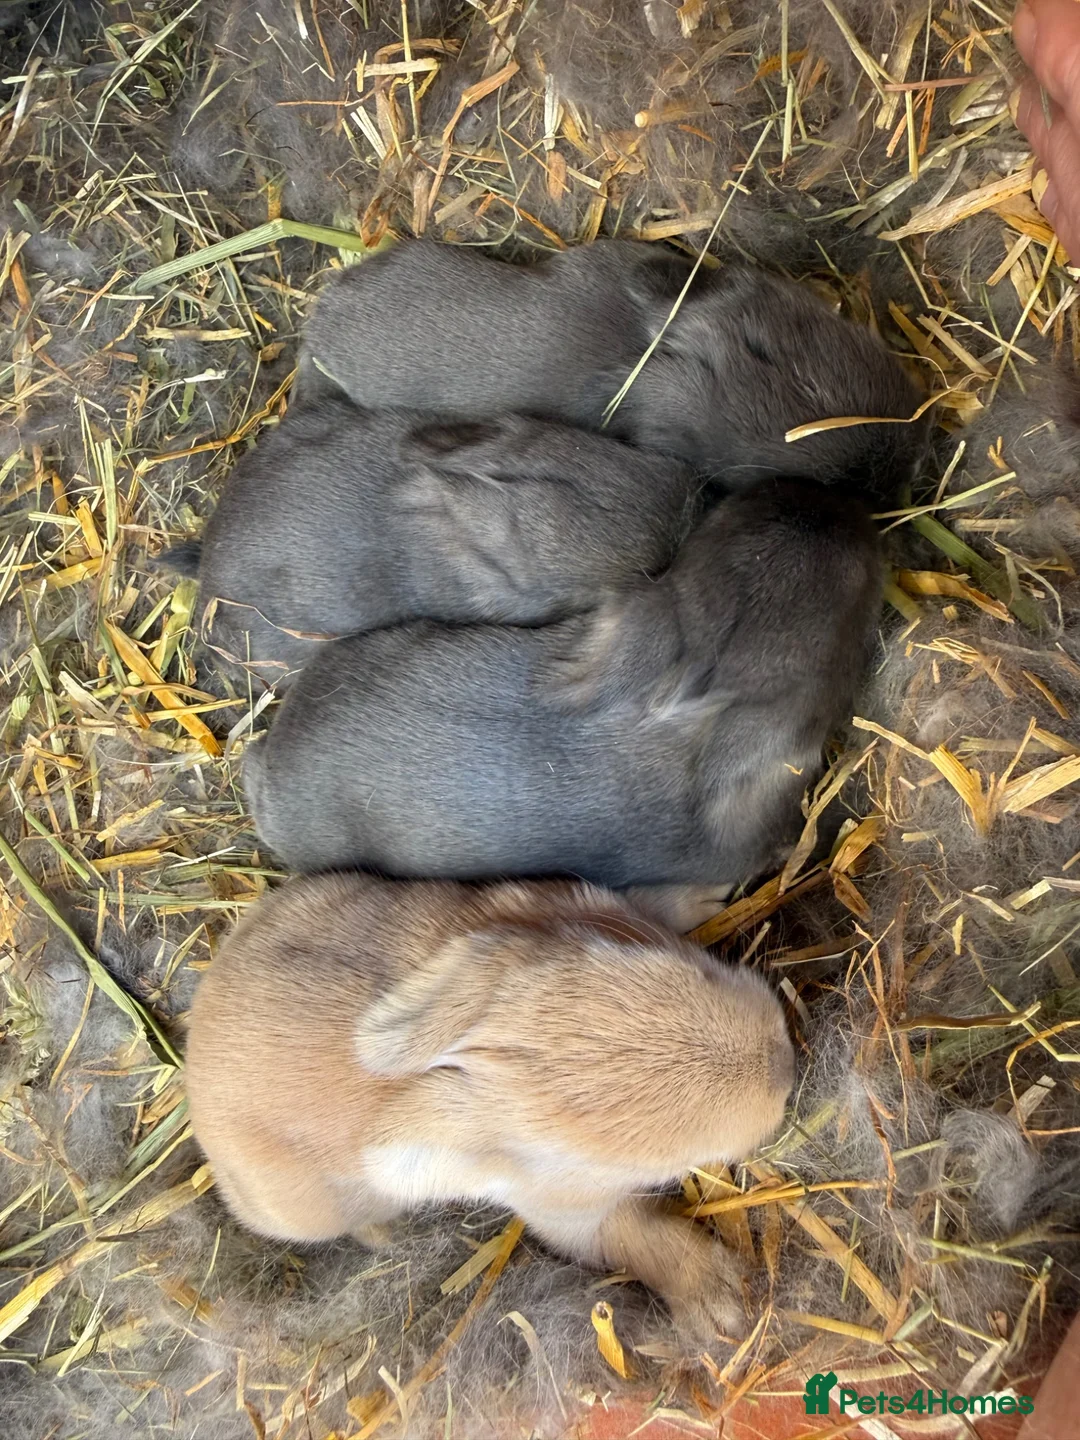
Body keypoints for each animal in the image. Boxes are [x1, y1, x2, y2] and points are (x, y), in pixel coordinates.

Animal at [184, 870, 796, 1341]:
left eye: (695, 970)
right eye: (646, 1161)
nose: (784, 1062)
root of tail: (192, 1059)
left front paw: (708, 893)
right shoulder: (566, 1211)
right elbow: (637, 1237)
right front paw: (723, 1303)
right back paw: (383, 1234)